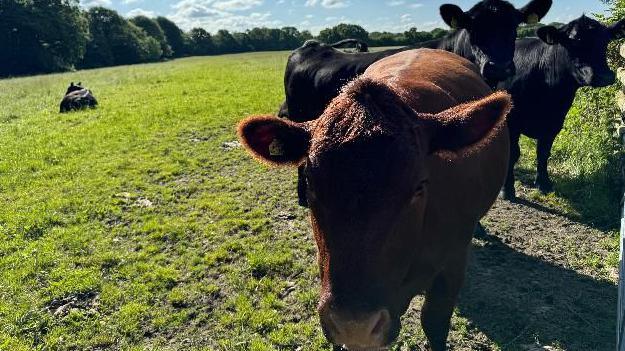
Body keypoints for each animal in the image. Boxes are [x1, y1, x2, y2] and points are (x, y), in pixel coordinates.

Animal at [500, 15, 625, 201]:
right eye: (574, 41)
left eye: (605, 41)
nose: (604, 76)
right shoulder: (511, 121)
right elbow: (513, 153)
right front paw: (507, 189)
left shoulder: (554, 122)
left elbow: (543, 152)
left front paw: (544, 183)